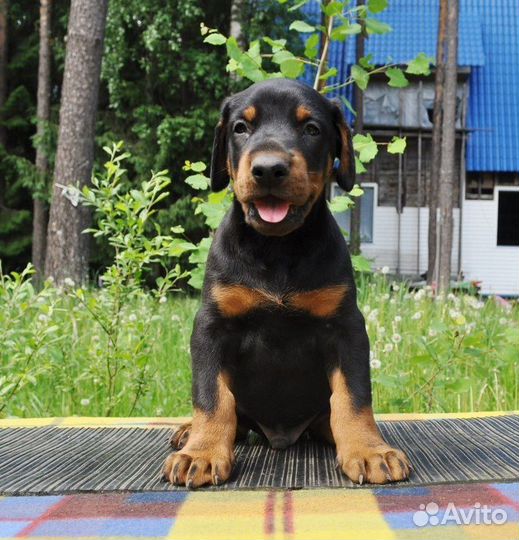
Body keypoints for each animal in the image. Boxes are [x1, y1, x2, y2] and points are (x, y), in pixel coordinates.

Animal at [162, 79, 410, 490]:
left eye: (311, 128)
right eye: (240, 128)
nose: (268, 169)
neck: (277, 248)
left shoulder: (346, 327)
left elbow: (355, 396)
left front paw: (370, 450)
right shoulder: (211, 327)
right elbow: (211, 396)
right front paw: (202, 452)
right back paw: (187, 432)